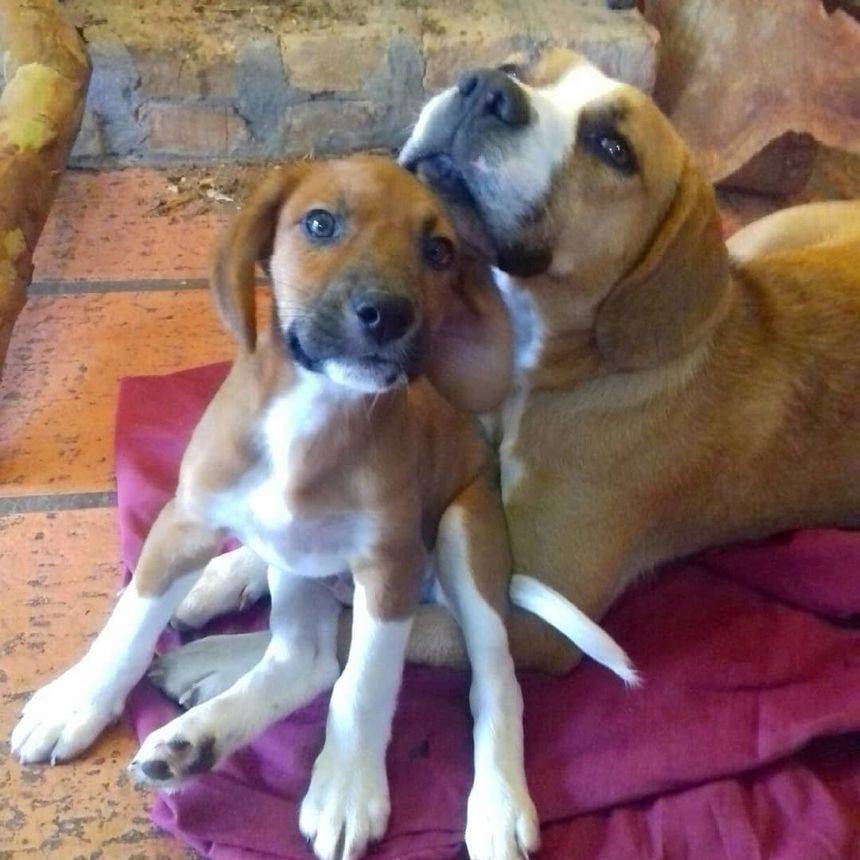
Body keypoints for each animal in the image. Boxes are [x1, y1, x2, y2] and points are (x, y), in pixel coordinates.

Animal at [12, 154, 637, 860]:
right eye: (319, 223)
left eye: (439, 251)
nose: (387, 314)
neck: (312, 412)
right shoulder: (183, 523)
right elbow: (130, 626)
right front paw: (76, 704)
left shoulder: (389, 568)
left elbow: (363, 684)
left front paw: (347, 788)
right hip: (297, 566)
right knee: (302, 660)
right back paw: (193, 739)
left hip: (462, 534)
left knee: (491, 678)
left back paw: (497, 806)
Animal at [152, 48, 859, 688]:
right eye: (521, 64)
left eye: (614, 147)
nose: (486, 88)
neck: (535, 371)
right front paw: (220, 571)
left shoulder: (536, 623)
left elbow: (359, 628)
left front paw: (217, 662)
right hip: (768, 235)